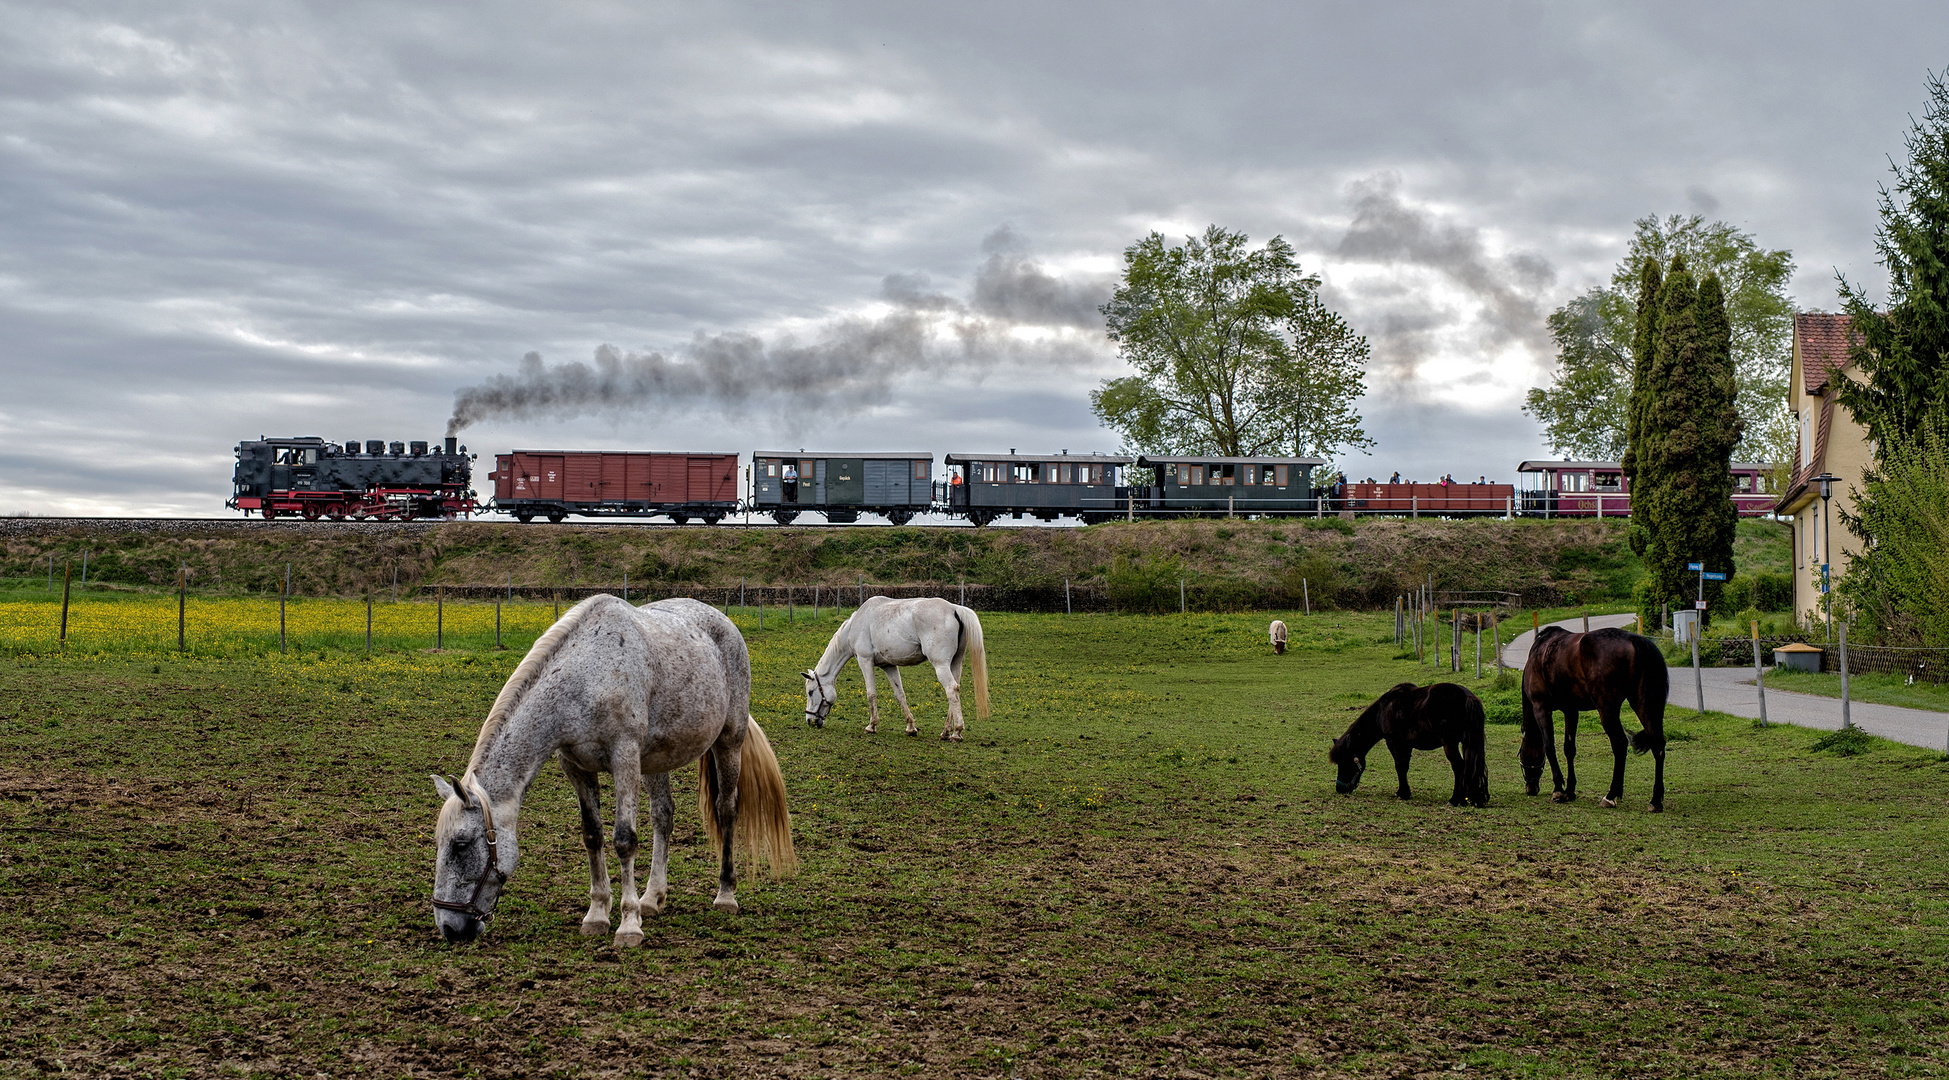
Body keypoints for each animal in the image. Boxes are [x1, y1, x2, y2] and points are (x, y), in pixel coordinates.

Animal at [430, 592, 795, 947]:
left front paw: (629, 925)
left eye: (460, 844)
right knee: (663, 815)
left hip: (728, 742)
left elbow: (624, 840)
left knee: (726, 809)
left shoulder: (625, 758)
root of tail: (723, 622)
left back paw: (725, 895)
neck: (587, 676)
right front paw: (597, 916)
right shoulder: (575, 767)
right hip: (655, 760)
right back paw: (652, 897)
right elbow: (593, 835)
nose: (449, 927)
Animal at [802, 592, 990, 736]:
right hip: (955, 664)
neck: (856, 624)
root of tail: (954, 609)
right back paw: (946, 731)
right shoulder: (889, 666)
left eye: (811, 692)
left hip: (941, 665)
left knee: (951, 689)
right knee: (955, 690)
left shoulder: (865, 661)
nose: (809, 720)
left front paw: (872, 725)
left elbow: (871, 694)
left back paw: (957, 732)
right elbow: (900, 694)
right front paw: (910, 727)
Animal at [1325, 678, 1489, 803]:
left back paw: (1455, 799)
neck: (1383, 709)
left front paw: (1402, 793)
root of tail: (1467, 696)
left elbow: (1400, 767)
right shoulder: (1406, 745)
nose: (1340, 789)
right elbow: (1404, 766)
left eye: (1345, 762)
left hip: (1450, 744)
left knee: (1458, 766)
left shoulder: (1395, 743)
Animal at [1520, 623, 1676, 807]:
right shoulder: (1571, 710)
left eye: (1521, 753)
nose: (1531, 788)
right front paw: (1570, 791)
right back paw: (1655, 800)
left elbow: (1549, 746)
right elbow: (1569, 749)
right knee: (1657, 744)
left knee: (1620, 744)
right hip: (1643, 705)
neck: (1540, 654)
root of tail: (1633, 639)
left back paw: (1610, 795)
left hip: (1607, 710)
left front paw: (1558, 789)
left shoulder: (1541, 707)